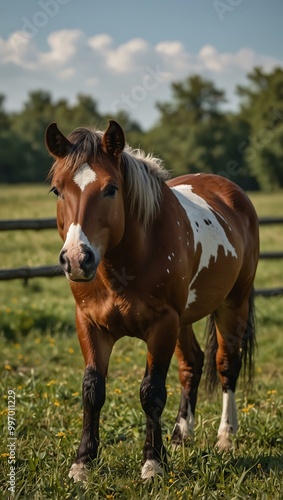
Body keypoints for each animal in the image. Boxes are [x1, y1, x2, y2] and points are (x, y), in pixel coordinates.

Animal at [45, 119, 260, 482]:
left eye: (111, 189)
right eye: (57, 191)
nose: (76, 259)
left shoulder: (163, 325)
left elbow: (152, 392)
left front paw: (152, 463)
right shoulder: (89, 324)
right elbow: (92, 390)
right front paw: (82, 463)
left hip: (233, 304)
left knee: (226, 366)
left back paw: (226, 437)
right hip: (186, 319)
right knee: (192, 364)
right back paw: (181, 434)